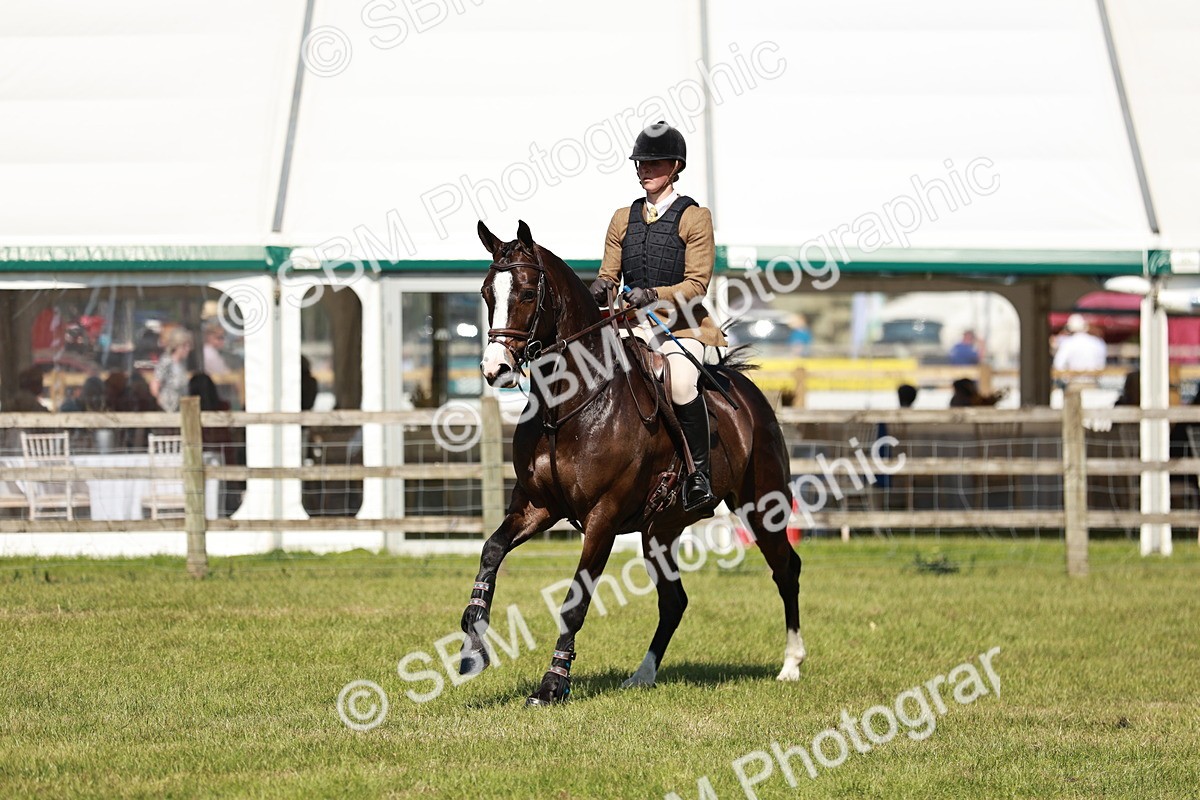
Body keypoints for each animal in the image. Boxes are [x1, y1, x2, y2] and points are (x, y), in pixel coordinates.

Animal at [458, 220, 805, 706]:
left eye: (527, 292)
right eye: (488, 292)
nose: (496, 370)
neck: (569, 403)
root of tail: (744, 390)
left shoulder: (602, 518)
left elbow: (575, 602)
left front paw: (552, 684)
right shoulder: (536, 506)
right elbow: (491, 550)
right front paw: (473, 645)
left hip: (761, 506)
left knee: (785, 569)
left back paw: (791, 665)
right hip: (661, 529)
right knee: (674, 601)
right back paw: (643, 674)